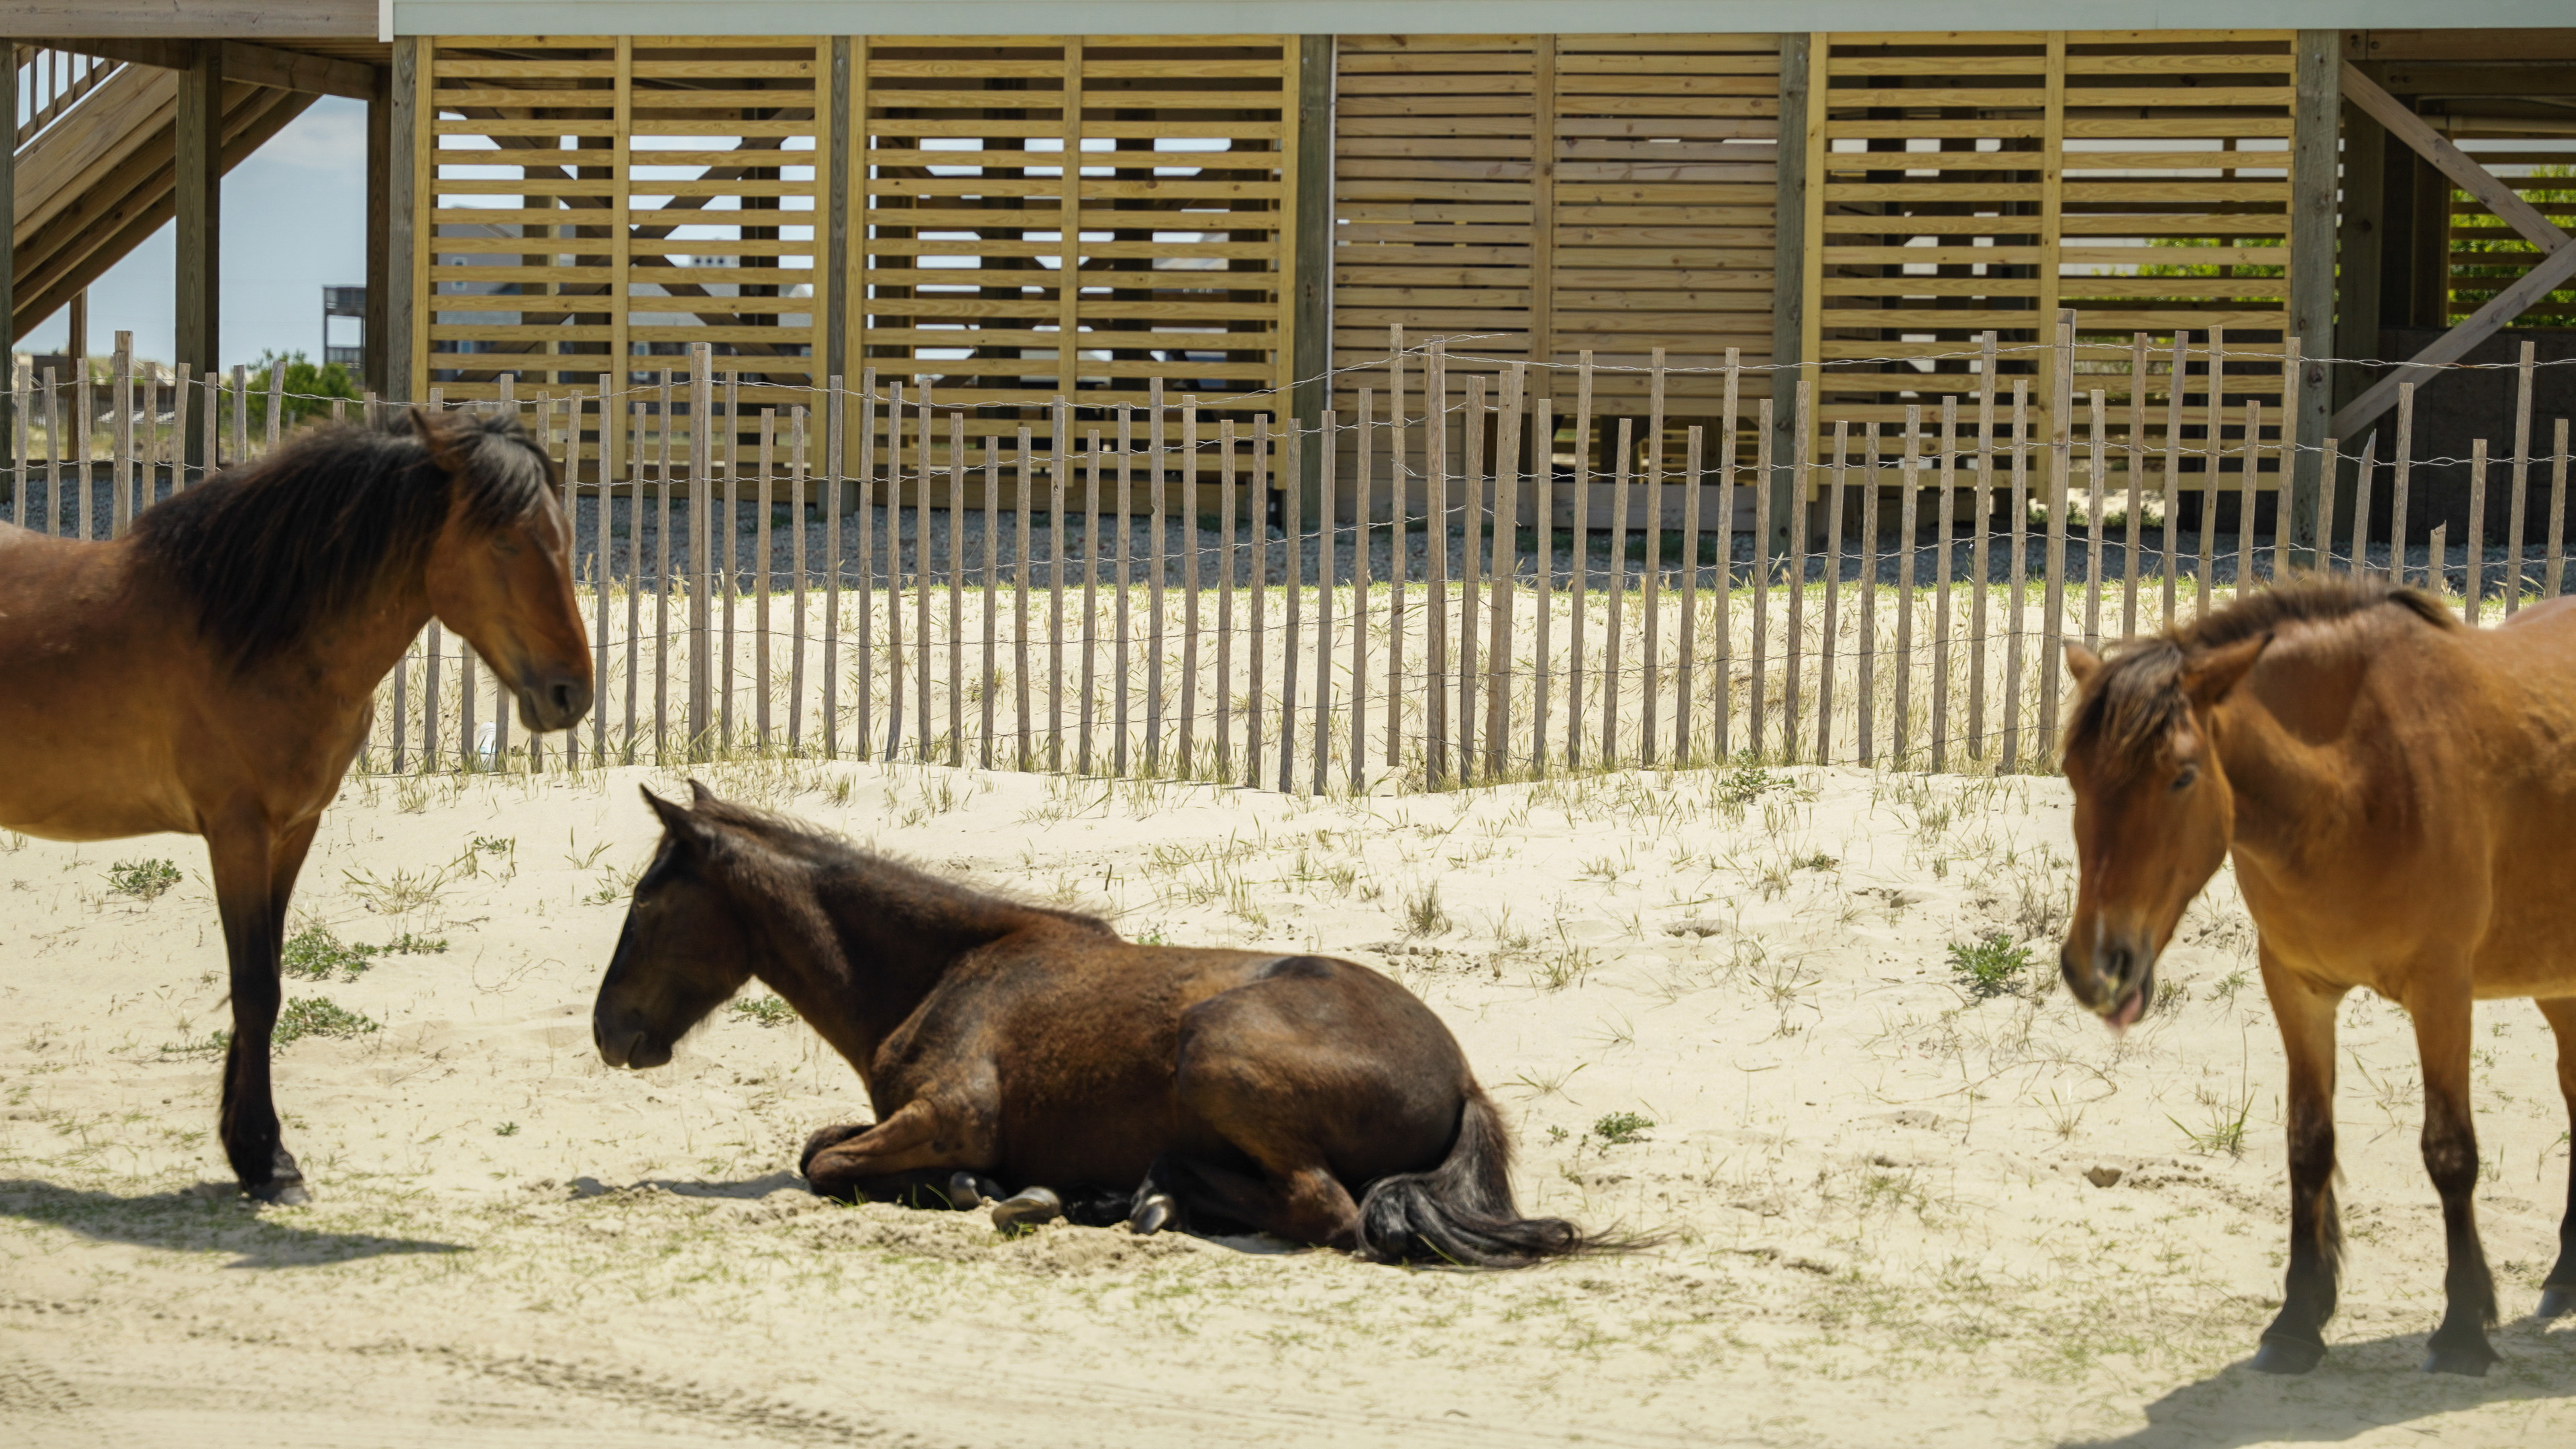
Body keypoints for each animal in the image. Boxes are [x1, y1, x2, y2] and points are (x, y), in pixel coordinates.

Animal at [0, 409, 591, 1203]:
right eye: (505, 541)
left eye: (563, 537)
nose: (570, 694)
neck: (258, 636)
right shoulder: (237, 834)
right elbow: (254, 987)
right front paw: (266, 1159)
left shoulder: (293, 831)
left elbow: (271, 979)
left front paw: (254, 1149)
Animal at [591, 783, 1595, 1266]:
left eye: (646, 900)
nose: (608, 1031)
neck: (948, 970)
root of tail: (1461, 1078)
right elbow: (821, 1148)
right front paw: (977, 1189)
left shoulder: (951, 1115)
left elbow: (828, 1166)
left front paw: (980, 1189)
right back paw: (1125, 1195)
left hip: (1214, 1050)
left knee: (1326, 1212)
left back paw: (1135, 1197)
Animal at [2058, 574, 2576, 1376]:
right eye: (2073, 775)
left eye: (2182, 776)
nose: (2097, 967)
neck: (2358, 777)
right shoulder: (2297, 988)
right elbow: (2308, 1145)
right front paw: (2299, 1321)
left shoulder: (2443, 992)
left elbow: (2450, 1151)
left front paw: (2463, 1329)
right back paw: (2565, 1277)